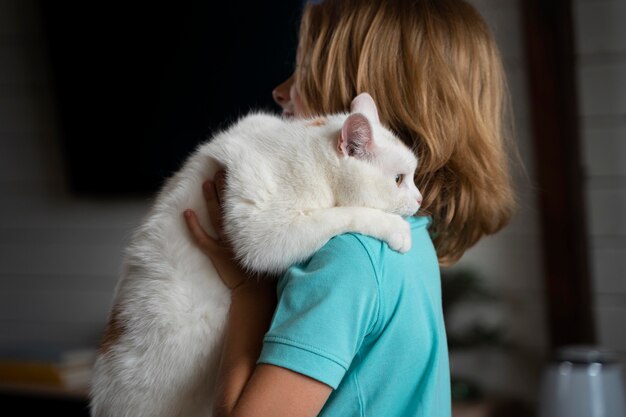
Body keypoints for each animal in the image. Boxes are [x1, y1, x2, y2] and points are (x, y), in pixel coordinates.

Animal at [89, 93, 420, 416]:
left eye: (413, 177)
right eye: (399, 179)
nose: (419, 199)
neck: (312, 151)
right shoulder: (264, 231)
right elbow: (342, 214)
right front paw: (395, 228)